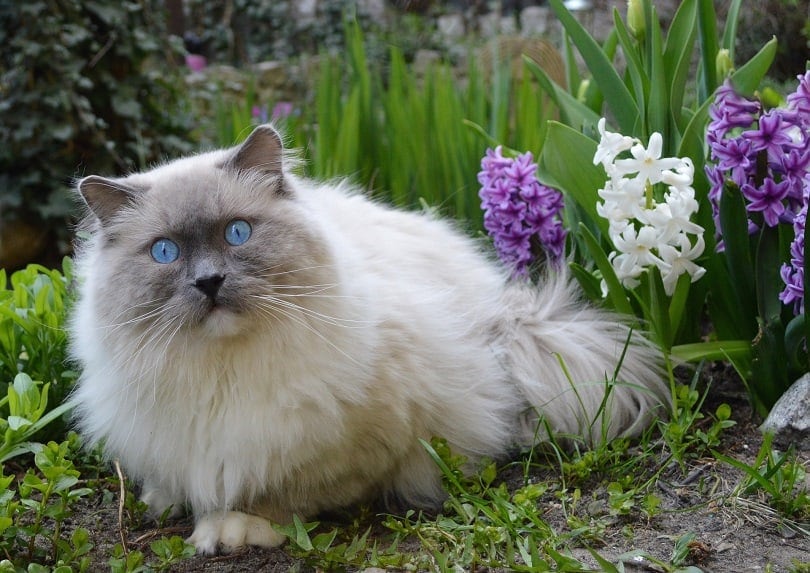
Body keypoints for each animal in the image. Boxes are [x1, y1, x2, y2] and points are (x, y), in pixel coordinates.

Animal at [69, 124, 664, 556]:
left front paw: (230, 528)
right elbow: (176, 477)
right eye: (164, 252)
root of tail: (505, 308)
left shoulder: (347, 448)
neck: (223, 370)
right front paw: (166, 501)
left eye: (237, 233)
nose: (209, 282)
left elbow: (278, 494)